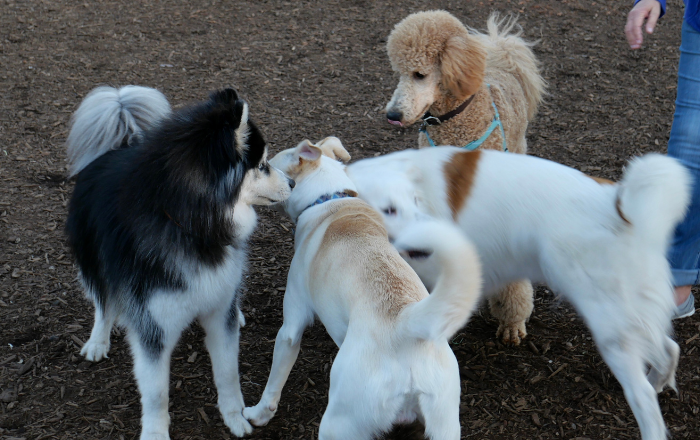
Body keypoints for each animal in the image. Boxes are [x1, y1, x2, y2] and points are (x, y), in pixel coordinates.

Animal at [65, 84, 292, 438]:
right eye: (263, 164)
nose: (293, 183)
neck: (191, 225)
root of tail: (118, 147)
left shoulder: (219, 309)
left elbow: (228, 372)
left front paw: (235, 416)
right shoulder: (152, 327)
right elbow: (156, 392)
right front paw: (155, 432)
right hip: (93, 259)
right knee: (104, 302)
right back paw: (97, 340)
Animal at [242, 139, 482, 438]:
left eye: (269, 164)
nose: (286, 183)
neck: (331, 197)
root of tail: (407, 323)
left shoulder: (291, 325)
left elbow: (275, 382)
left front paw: (258, 414)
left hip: (338, 421)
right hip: (445, 423)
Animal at [344, 146, 688, 438]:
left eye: (413, 203)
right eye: (389, 209)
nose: (431, 230)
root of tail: (620, 208)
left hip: (610, 326)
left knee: (644, 395)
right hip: (627, 317)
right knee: (670, 349)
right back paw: (659, 382)